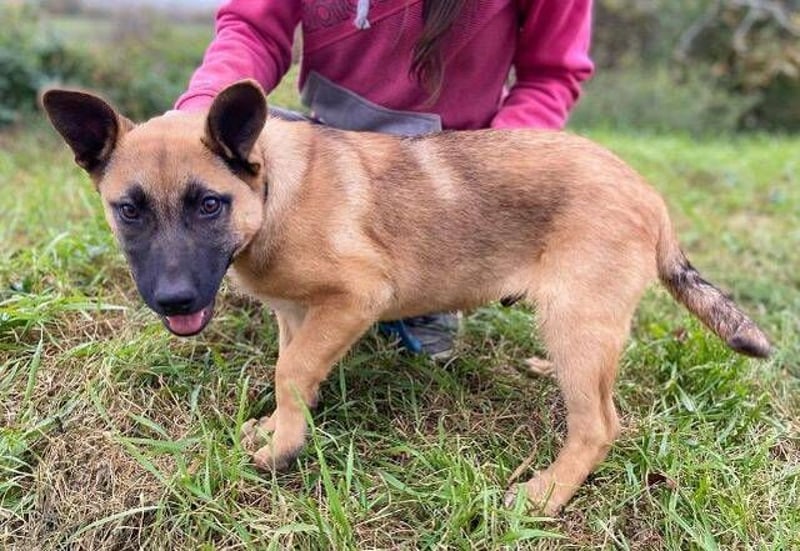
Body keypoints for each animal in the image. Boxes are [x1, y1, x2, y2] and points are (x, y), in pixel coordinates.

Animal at [41, 80, 771, 515]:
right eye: (129, 211)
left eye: (208, 205)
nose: (174, 301)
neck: (272, 189)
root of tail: (648, 194)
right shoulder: (298, 313)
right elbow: (292, 369)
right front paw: (280, 426)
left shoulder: (358, 295)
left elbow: (291, 370)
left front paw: (284, 447)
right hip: (581, 322)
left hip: (577, 319)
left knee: (599, 425)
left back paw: (545, 495)